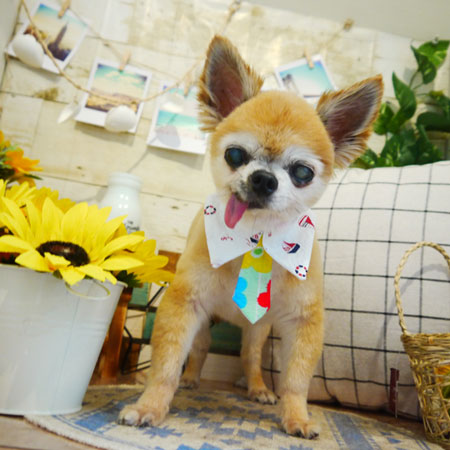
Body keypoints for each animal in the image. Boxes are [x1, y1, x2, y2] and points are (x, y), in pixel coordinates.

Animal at [119, 35, 383, 439]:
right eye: (235, 154)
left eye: (302, 172)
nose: (263, 179)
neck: (256, 237)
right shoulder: (184, 305)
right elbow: (165, 366)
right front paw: (150, 406)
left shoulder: (302, 322)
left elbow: (295, 380)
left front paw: (297, 417)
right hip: (205, 325)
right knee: (199, 351)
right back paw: (193, 379)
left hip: (258, 330)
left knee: (250, 357)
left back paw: (258, 388)